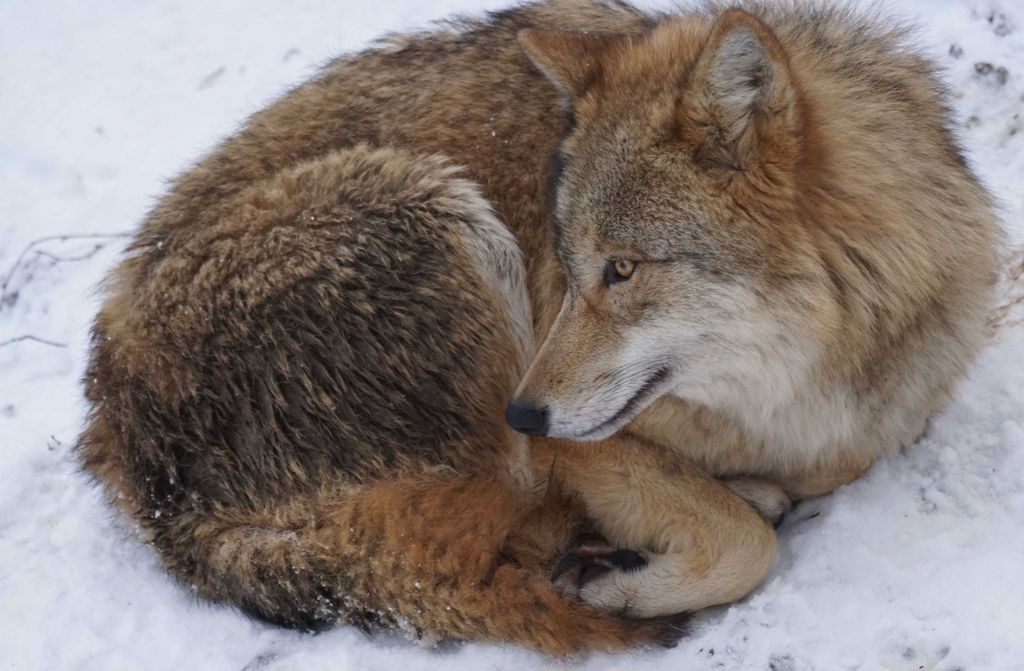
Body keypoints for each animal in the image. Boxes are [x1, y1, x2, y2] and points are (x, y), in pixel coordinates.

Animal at [77, 0, 999, 655]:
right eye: (568, 259)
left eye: (621, 269)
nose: (522, 411)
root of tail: (127, 454)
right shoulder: (580, 447)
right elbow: (745, 545)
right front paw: (629, 578)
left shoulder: (875, 420)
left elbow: (816, 474)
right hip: (437, 204)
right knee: (483, 536)